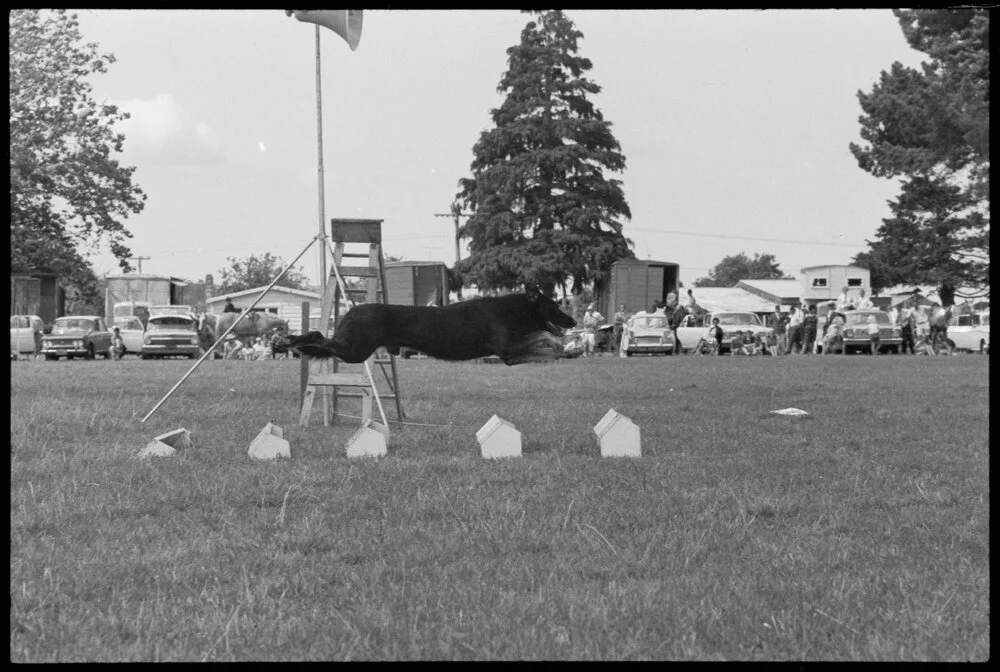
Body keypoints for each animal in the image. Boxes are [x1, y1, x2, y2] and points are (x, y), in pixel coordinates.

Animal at [272, 284, 580, 368]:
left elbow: (545, 346)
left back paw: (289, 342)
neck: (511, 310)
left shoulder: (512, 350)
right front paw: (561, 347)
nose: (574, 320)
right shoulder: (507, 351)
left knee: (320, 339)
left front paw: (566, 350)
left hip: (353, 349)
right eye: (554, 307)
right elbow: (544, 339)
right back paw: (288, 342)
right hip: (354, 350)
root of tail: (352, 310)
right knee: (319, 337)